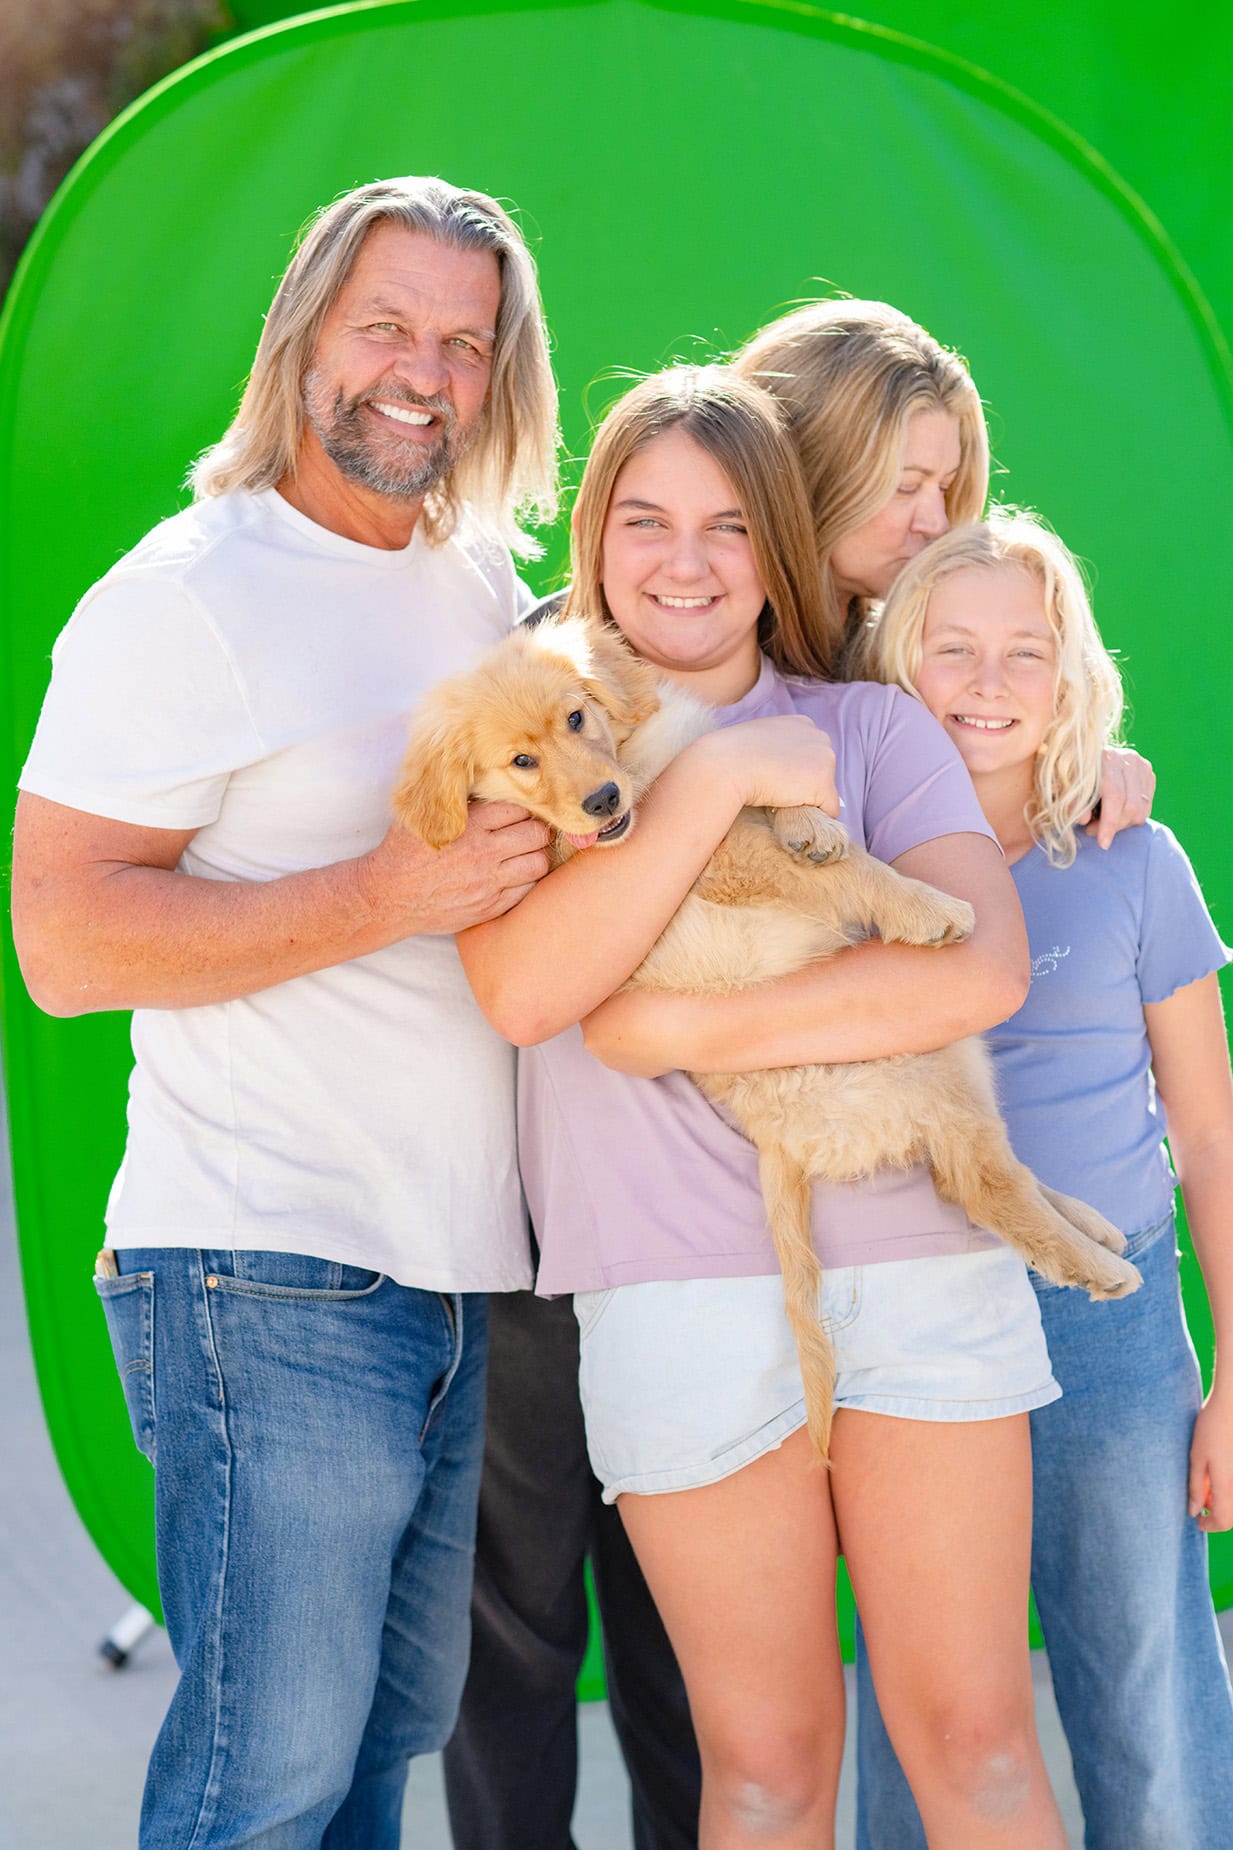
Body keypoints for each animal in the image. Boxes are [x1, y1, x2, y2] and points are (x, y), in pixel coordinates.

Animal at [390, 617, 1133, 1457]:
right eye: (520, 762)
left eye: (576, 719)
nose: (601, 800)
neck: (640, 771)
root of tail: (778, 1144)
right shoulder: (717, 856)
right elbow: (841, 874)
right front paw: (923, 906)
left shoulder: (714, 774)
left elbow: (781, 801)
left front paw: (813, 824)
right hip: (927, 1058)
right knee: (977, 1182)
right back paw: (1091, 1263)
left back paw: (1092, 1226)